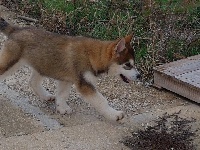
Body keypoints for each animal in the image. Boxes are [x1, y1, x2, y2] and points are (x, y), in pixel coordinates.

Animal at [0, 17, 140, 121]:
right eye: (128, 65)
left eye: (133, 64)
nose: (139, 76)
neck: (92, 56)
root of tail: (16, 29)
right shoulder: (85, 84)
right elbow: (101, 100)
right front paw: (114, 114)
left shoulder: (67, 80)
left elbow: (62, 94)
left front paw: (61, 107)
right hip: (11, 63)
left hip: (43, 64)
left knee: (33, 82)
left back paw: (45, 96)